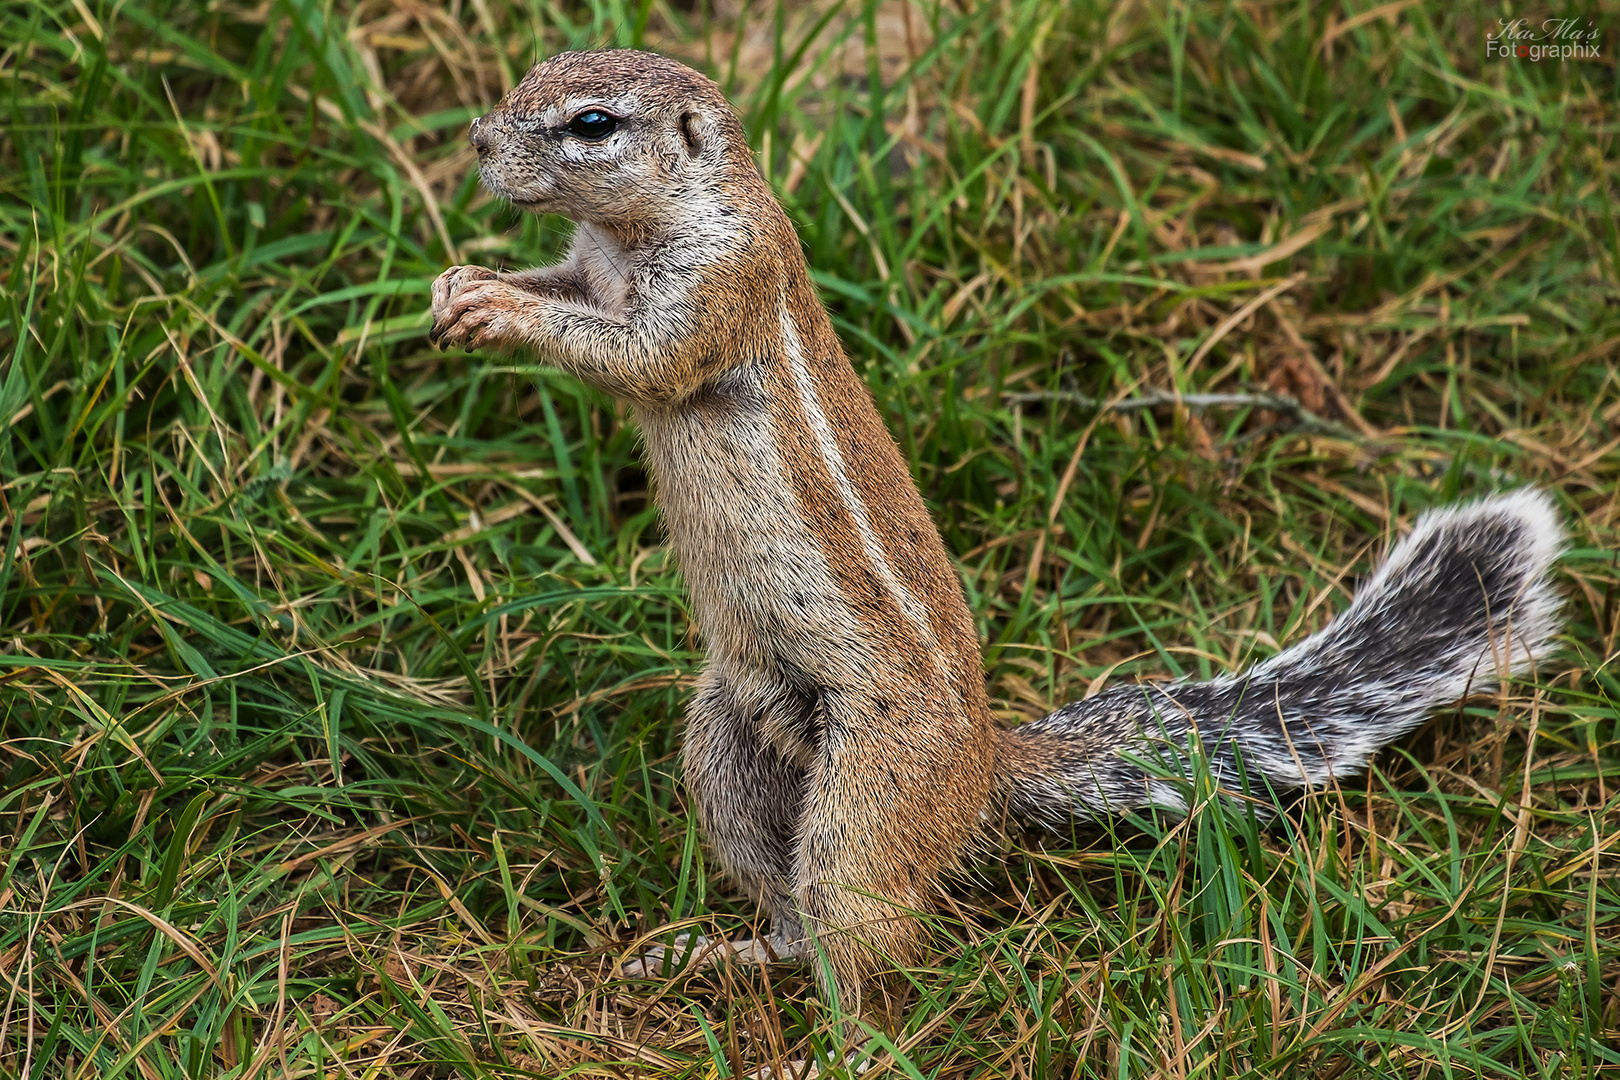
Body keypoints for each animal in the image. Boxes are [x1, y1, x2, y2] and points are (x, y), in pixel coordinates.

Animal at [424, 46, 1561, 1016]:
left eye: (593, 123)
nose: (475, 140)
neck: (637, 233)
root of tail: (980, 768)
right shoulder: (590, 266)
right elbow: (567, 293)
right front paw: (461, 285)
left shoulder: (718, 288)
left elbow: (641, 355)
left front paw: (501, 308)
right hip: (728, 752)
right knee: (789, 907)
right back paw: (720, 954)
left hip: (868, 796)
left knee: (867, 933)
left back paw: (843, 1044)